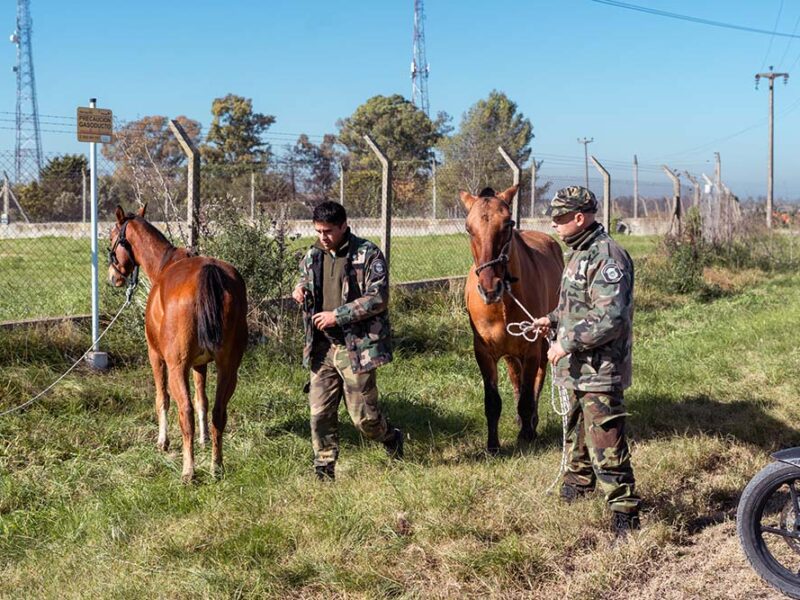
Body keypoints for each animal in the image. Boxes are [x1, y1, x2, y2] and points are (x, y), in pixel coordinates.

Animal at [107, 205, 248, 482]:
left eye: (112, 238)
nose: (113, 277)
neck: (165, 264)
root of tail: (208, 272)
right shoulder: (201, 364)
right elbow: (202, 400)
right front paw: (204, 440)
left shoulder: (156, 357)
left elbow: (162, 399)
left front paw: (162, 441)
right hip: (229, 369)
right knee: (218, 412)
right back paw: (216, 466)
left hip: (176, 368)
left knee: (185, 412)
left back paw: (188, 471)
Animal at [461, 186, 564, 453]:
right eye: (468, 228)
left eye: (508, 224)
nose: (489, 288)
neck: (503, 305)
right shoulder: (484, 352)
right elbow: (493, 401)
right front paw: (493, 445)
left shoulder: (532, 348)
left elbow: (528, 395)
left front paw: (527, 435)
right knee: (516, 379)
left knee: (536, 381)